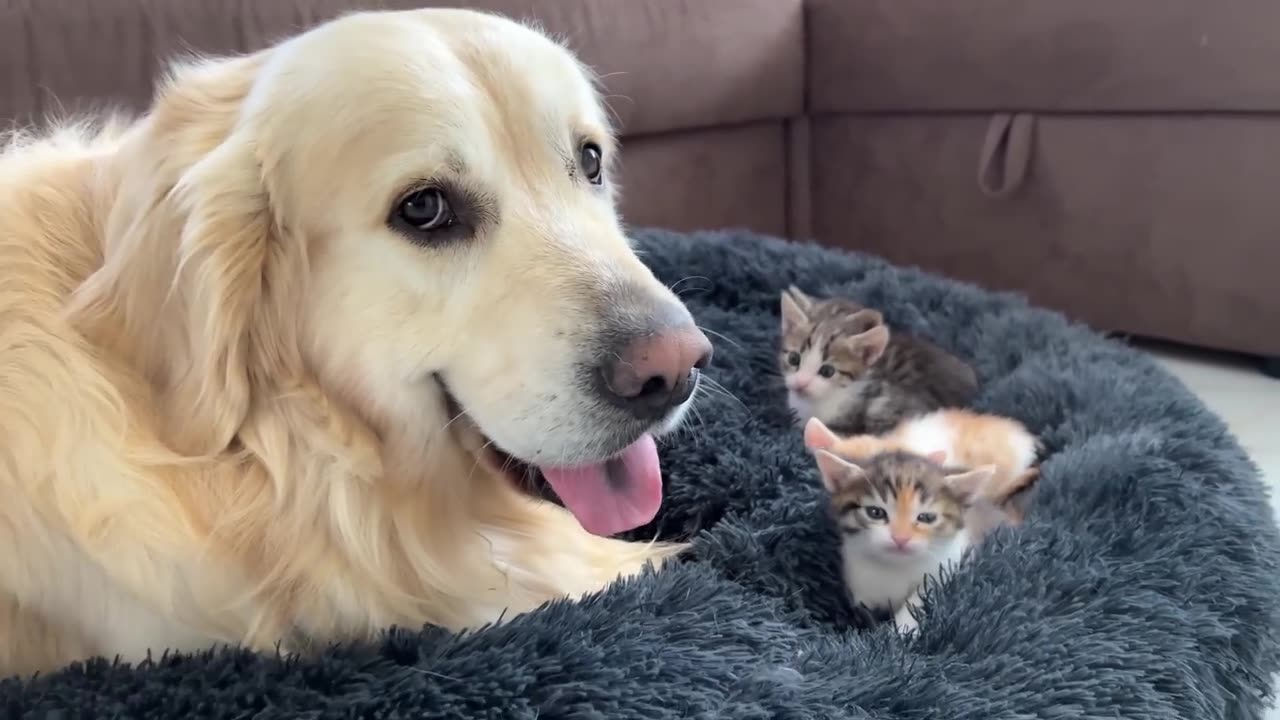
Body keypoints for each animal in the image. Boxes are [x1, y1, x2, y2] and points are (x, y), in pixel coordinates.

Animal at [808, 450, 1029, 630]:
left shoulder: (950, 563)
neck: (896, 568)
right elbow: (863, 607)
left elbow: (922, 595)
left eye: (926, 517)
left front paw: (904, 629)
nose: (900, 538)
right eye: (875, 513)